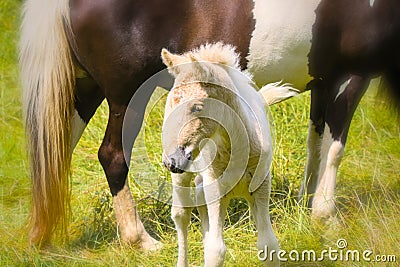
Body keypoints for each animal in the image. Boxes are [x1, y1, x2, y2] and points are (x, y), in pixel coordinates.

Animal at [20, 0, 400, 249]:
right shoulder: (351, 76)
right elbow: (334, 148)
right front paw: (325, 215)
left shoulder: (324, 81)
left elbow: (316, 145)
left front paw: (306, 204)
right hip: (126, 97)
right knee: (112, 156)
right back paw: (140, 240)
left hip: (82, 91)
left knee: (51, 156)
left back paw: (42, 234)